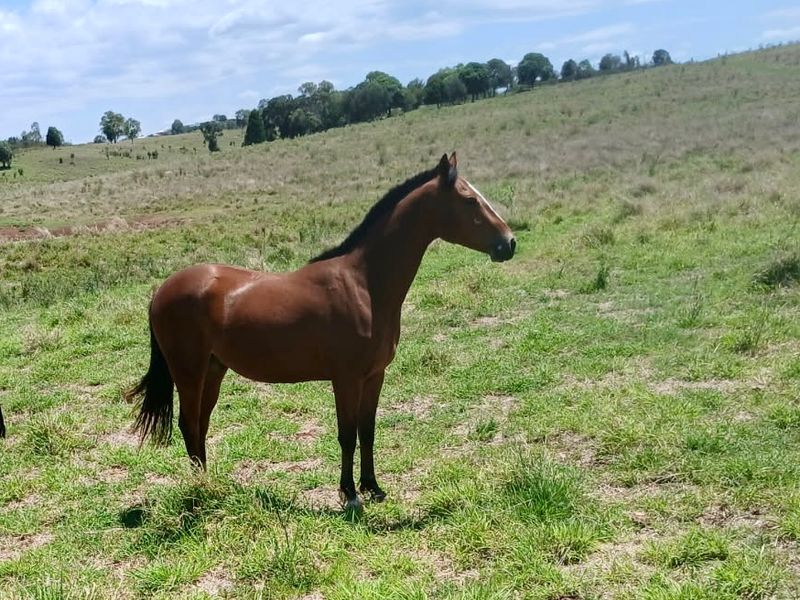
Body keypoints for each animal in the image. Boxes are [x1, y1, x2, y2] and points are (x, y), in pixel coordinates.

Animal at [125, 152, 516, 510]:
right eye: (469, 199)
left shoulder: (374, 376)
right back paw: (201, 492)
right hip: (189, 372)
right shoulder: (346, 379)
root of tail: (162, 291)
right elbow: (346, 435)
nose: (509, 243)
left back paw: (210, 483)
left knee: (200, 426)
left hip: (213, 370)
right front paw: (350, 495)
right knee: (189, 424)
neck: (364, 284)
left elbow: (367, 431)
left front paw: (373, 488)